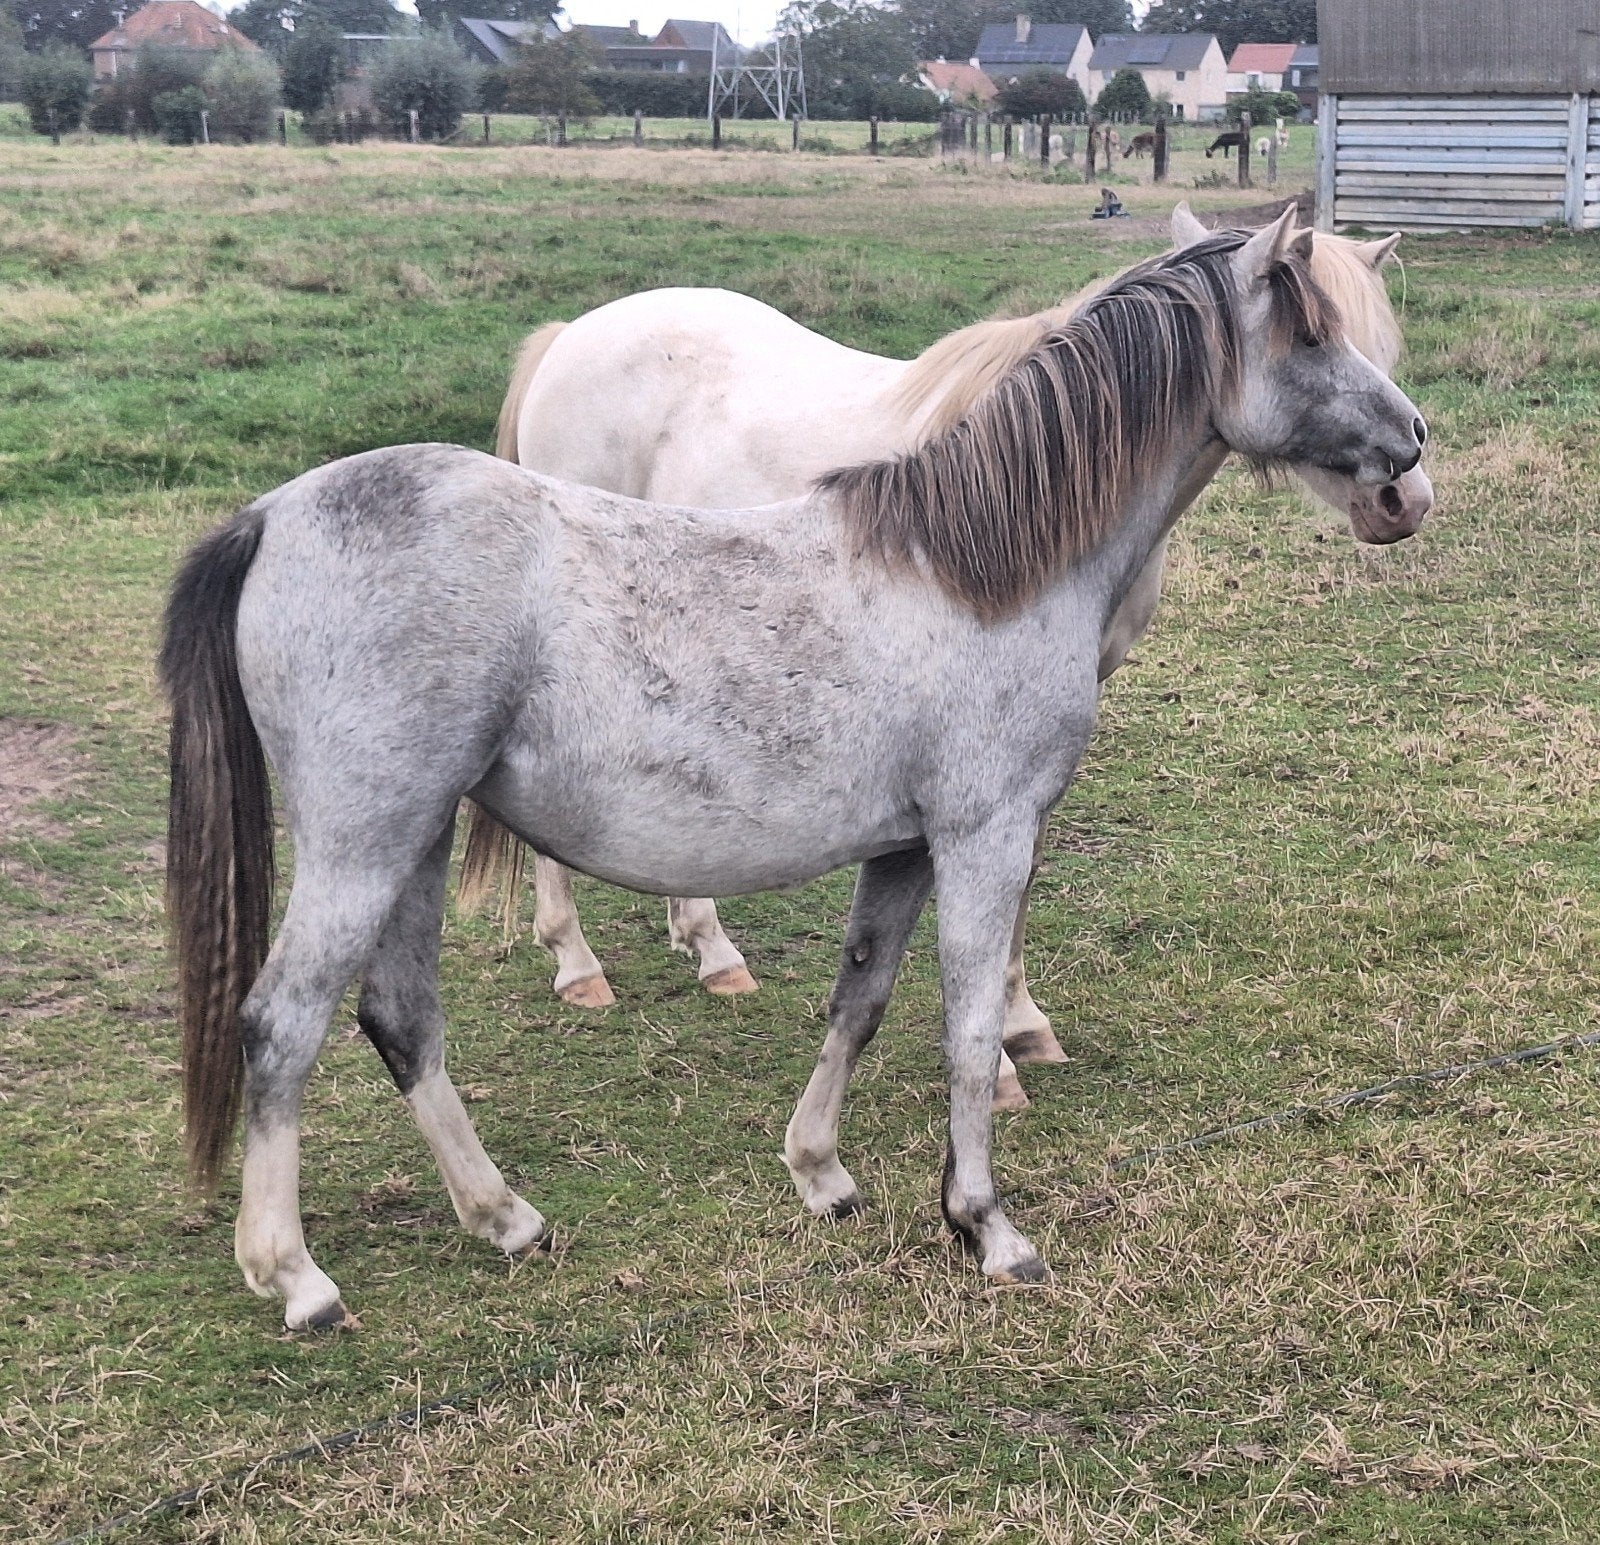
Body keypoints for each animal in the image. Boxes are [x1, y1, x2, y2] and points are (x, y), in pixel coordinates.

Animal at [473, 205, 1424, 1112]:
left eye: (1380, 343)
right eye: (1315, 338)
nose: (1405, 492)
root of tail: (572, 334)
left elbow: (1021, 875)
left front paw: (1023, 1024)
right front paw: (995, 1061)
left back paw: (709, 946)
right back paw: (577, 964)